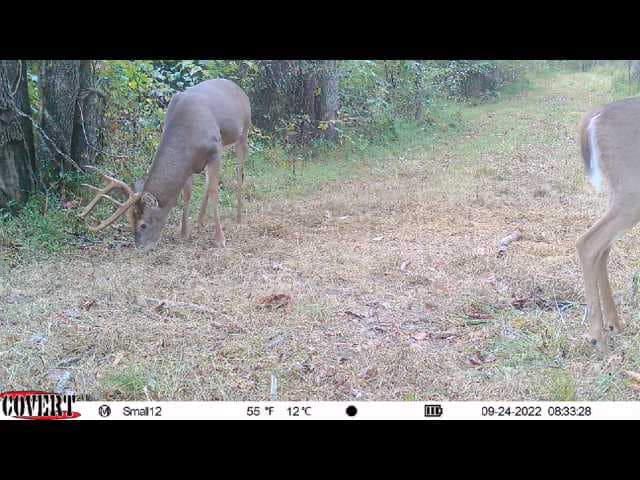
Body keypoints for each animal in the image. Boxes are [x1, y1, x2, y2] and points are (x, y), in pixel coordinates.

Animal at [79, 79, 251, 252]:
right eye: (130, 222)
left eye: (143, 225)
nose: (140, 248)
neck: (188, 132)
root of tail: (238, 88)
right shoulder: (190, 163)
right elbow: (187, 193)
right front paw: (184, 232)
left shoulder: (214, 150)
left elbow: (214, 191)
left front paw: (219, 239)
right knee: (210, 180)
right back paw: (200, 220)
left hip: (243, 131)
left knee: (239, 172)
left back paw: (238, 218)